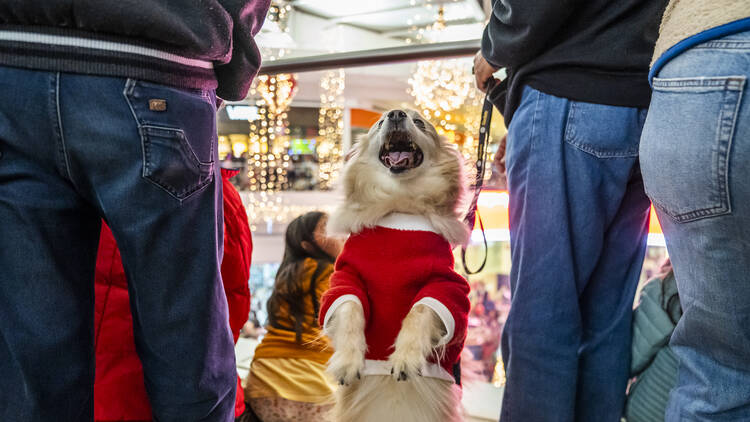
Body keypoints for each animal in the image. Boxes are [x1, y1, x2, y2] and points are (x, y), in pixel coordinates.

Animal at [322, 109, 470, 422]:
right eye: (379, 123)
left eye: (420, 123)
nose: (396, 113)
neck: (400, 205)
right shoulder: (346, 277)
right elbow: (350, 307)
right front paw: (348, 360)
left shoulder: (446, 285)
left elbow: (420, 310)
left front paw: (406, 356)